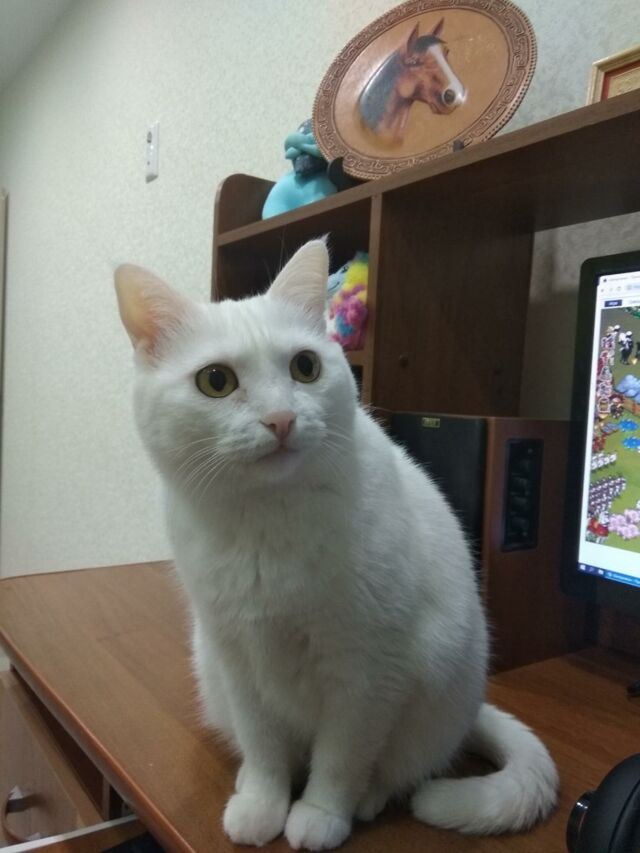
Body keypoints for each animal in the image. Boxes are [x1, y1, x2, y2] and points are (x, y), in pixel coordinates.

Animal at [115, 239, 558, 851]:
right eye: (216, 381)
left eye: (305, 367)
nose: (281, 419)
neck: (266, 525)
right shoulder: (236, 657)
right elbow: (264, 748)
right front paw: (262, 803)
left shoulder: (367, 672)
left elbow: (341, 759)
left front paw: (321, 815)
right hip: (211, 672)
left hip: (437, 689)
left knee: (397, 769)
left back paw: (368, 801)